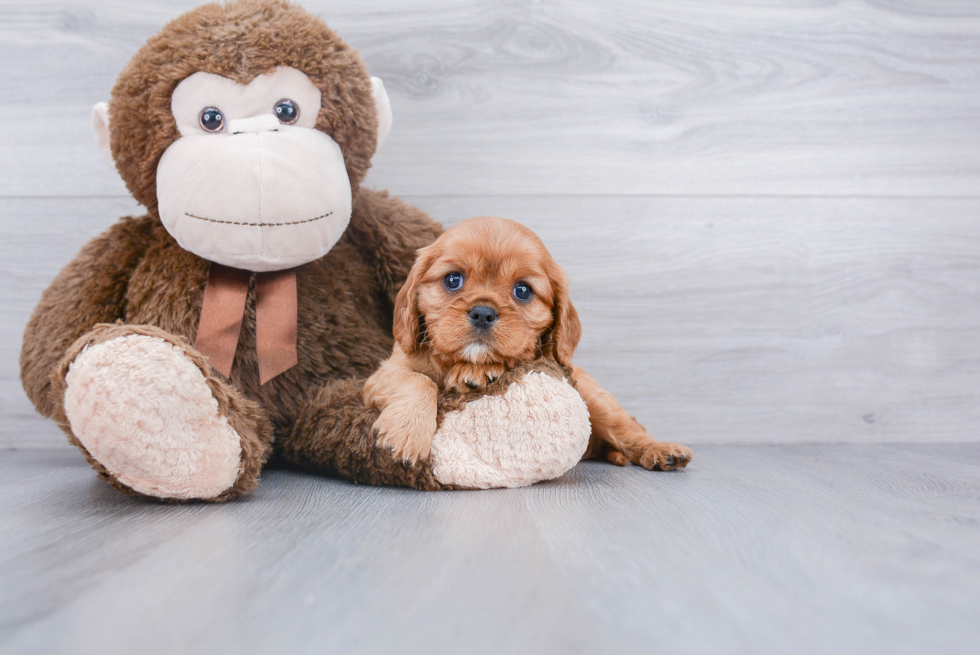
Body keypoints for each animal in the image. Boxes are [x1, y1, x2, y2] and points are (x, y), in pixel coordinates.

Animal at [364, 219, 692, 472]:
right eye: (453, 279)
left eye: (522, 290)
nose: (482, 312)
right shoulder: (385, 373)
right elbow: (419, 380)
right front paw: (407, 434)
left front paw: (477, 373)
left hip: (596, 399)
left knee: (629, 428)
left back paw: (662, 451)